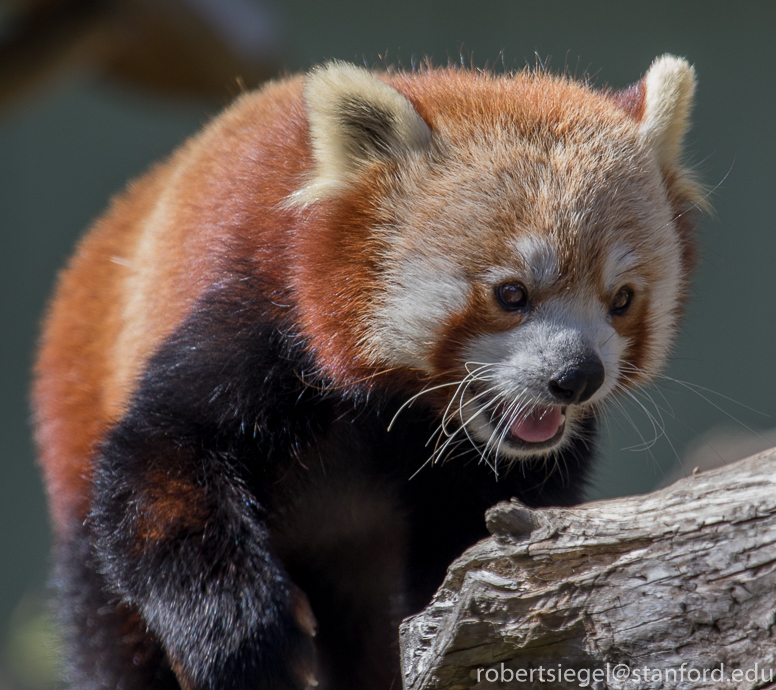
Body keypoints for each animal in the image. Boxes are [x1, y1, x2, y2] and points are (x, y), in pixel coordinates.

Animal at [31, 55, 704, 688]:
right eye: (511, 294)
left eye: (622, 300)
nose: (577, 375)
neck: (396, 403)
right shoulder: (258, 316)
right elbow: (159, 459)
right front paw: (242, 640)